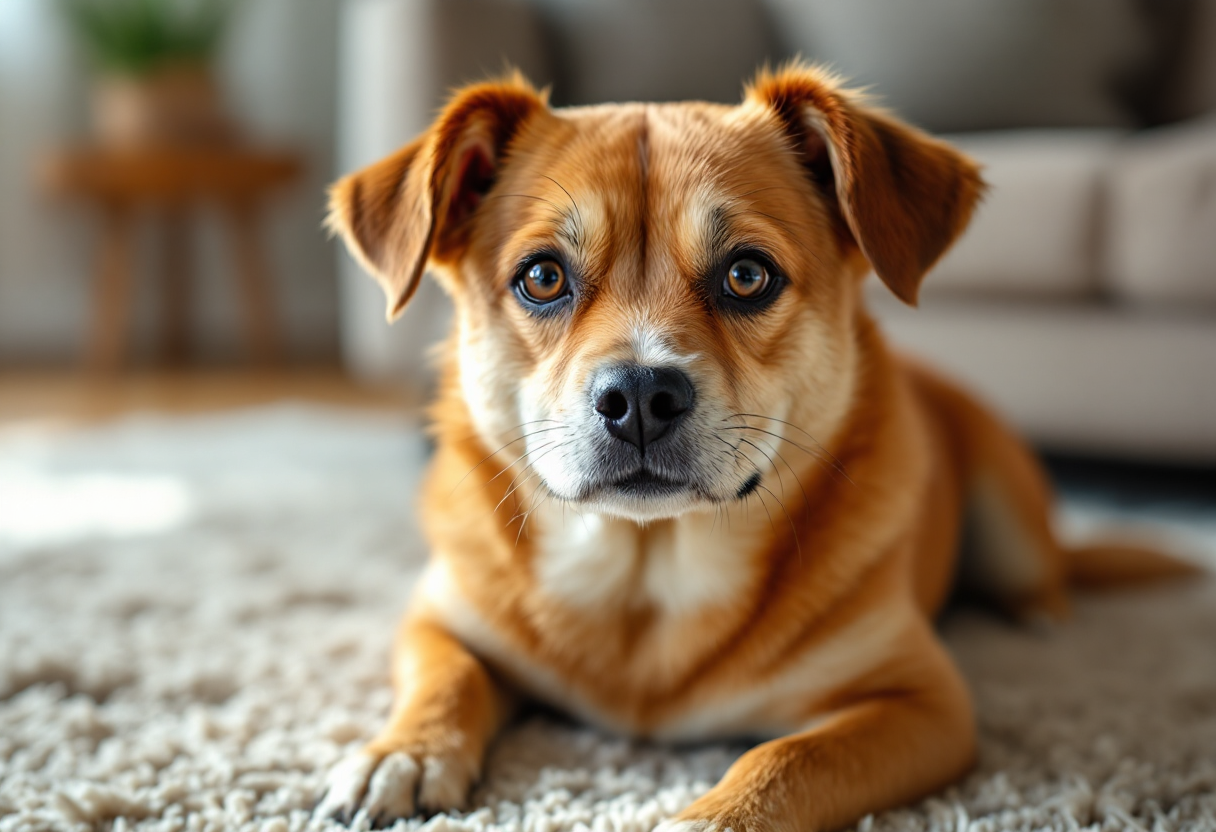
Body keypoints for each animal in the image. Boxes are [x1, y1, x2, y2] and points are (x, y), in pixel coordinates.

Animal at [313, 61, 1196, 827]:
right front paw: (403, 752)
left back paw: (1041, 616)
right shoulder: (440, 617)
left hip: (1009, 511)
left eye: (746, 275)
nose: (639, 396)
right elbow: (447, 675)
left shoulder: (922, 704)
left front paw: (712, 818)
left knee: (1044, 576)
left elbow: (788, 759)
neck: (645, 585)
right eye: (542, 277)